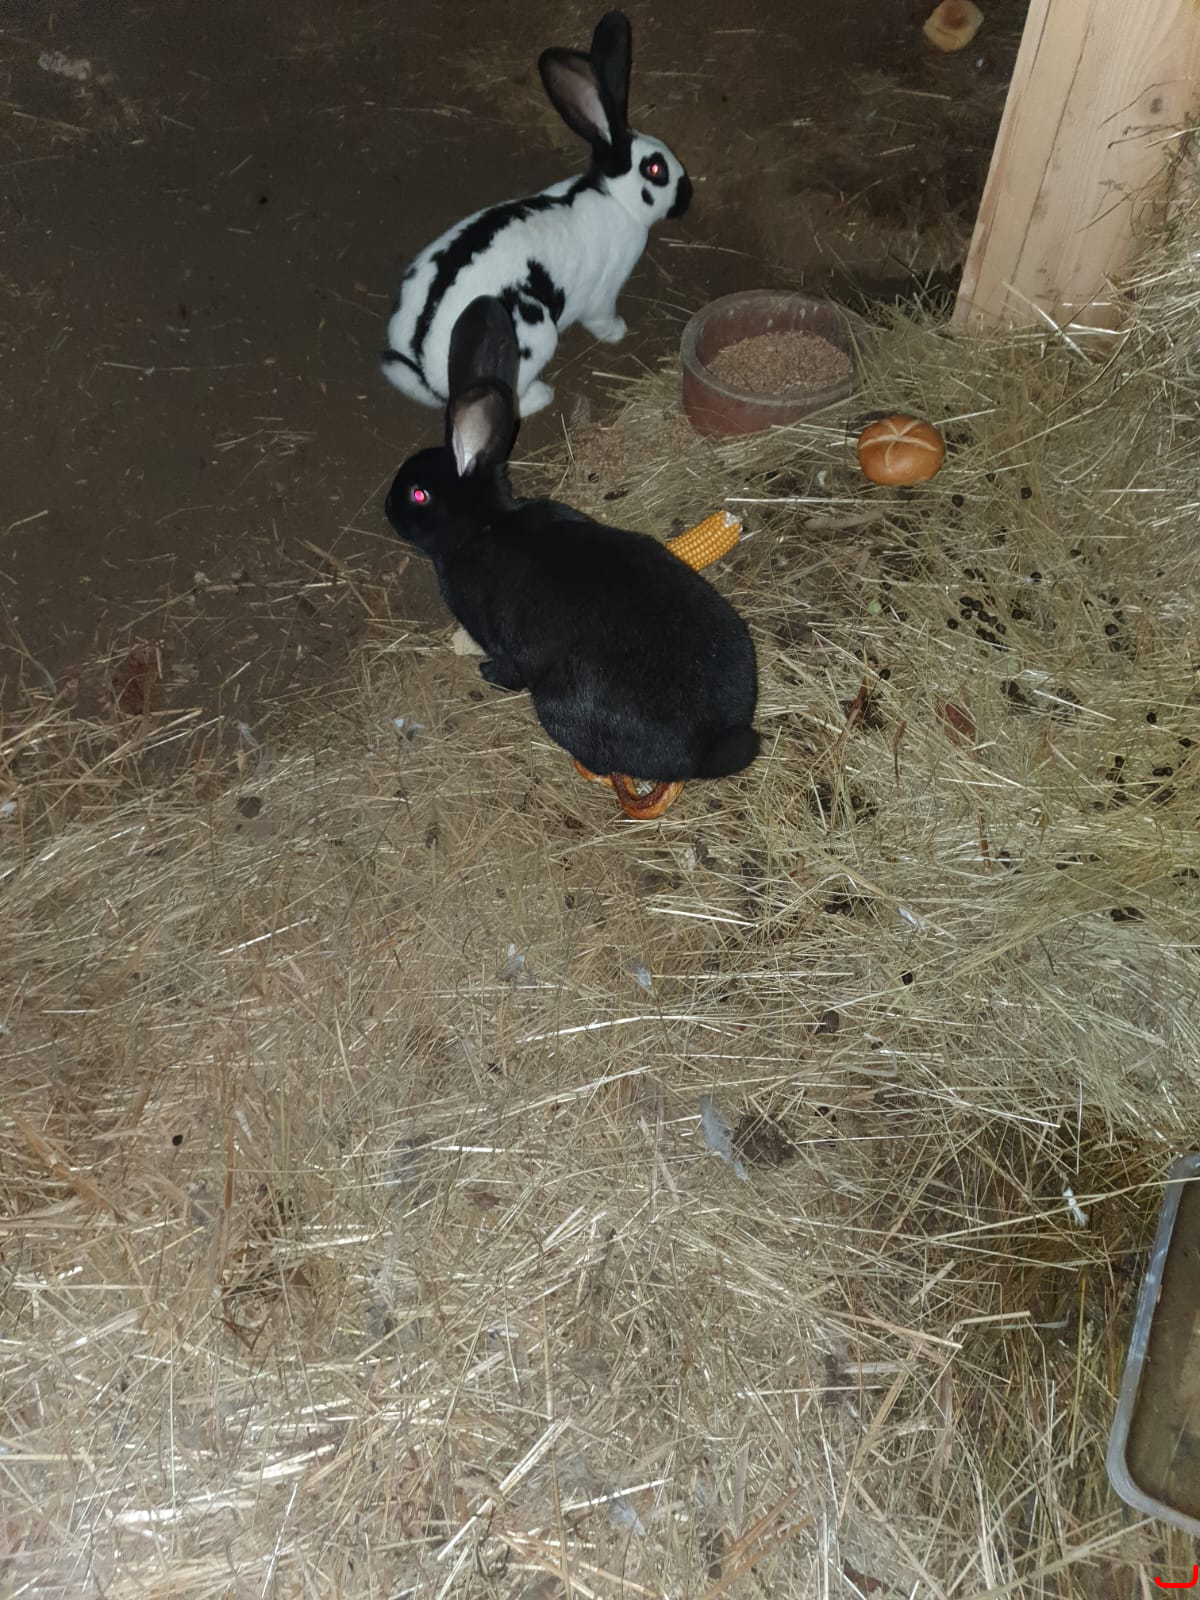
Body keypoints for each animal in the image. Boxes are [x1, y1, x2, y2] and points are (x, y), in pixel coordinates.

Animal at [381, 10, 692, 419]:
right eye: (656, 169)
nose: (687, 196)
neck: (613, 198)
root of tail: (424, 371)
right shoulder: (602, 294)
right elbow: (601, 319)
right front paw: (618, 331)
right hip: (535, 333)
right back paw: (543, 395)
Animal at [384, 296, 759, 809]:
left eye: (418, 495)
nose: (387, 508)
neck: (483, 525)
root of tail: (711, 742)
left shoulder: (499, 637)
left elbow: (507, 666)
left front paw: (486, 672)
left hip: (558, 709)